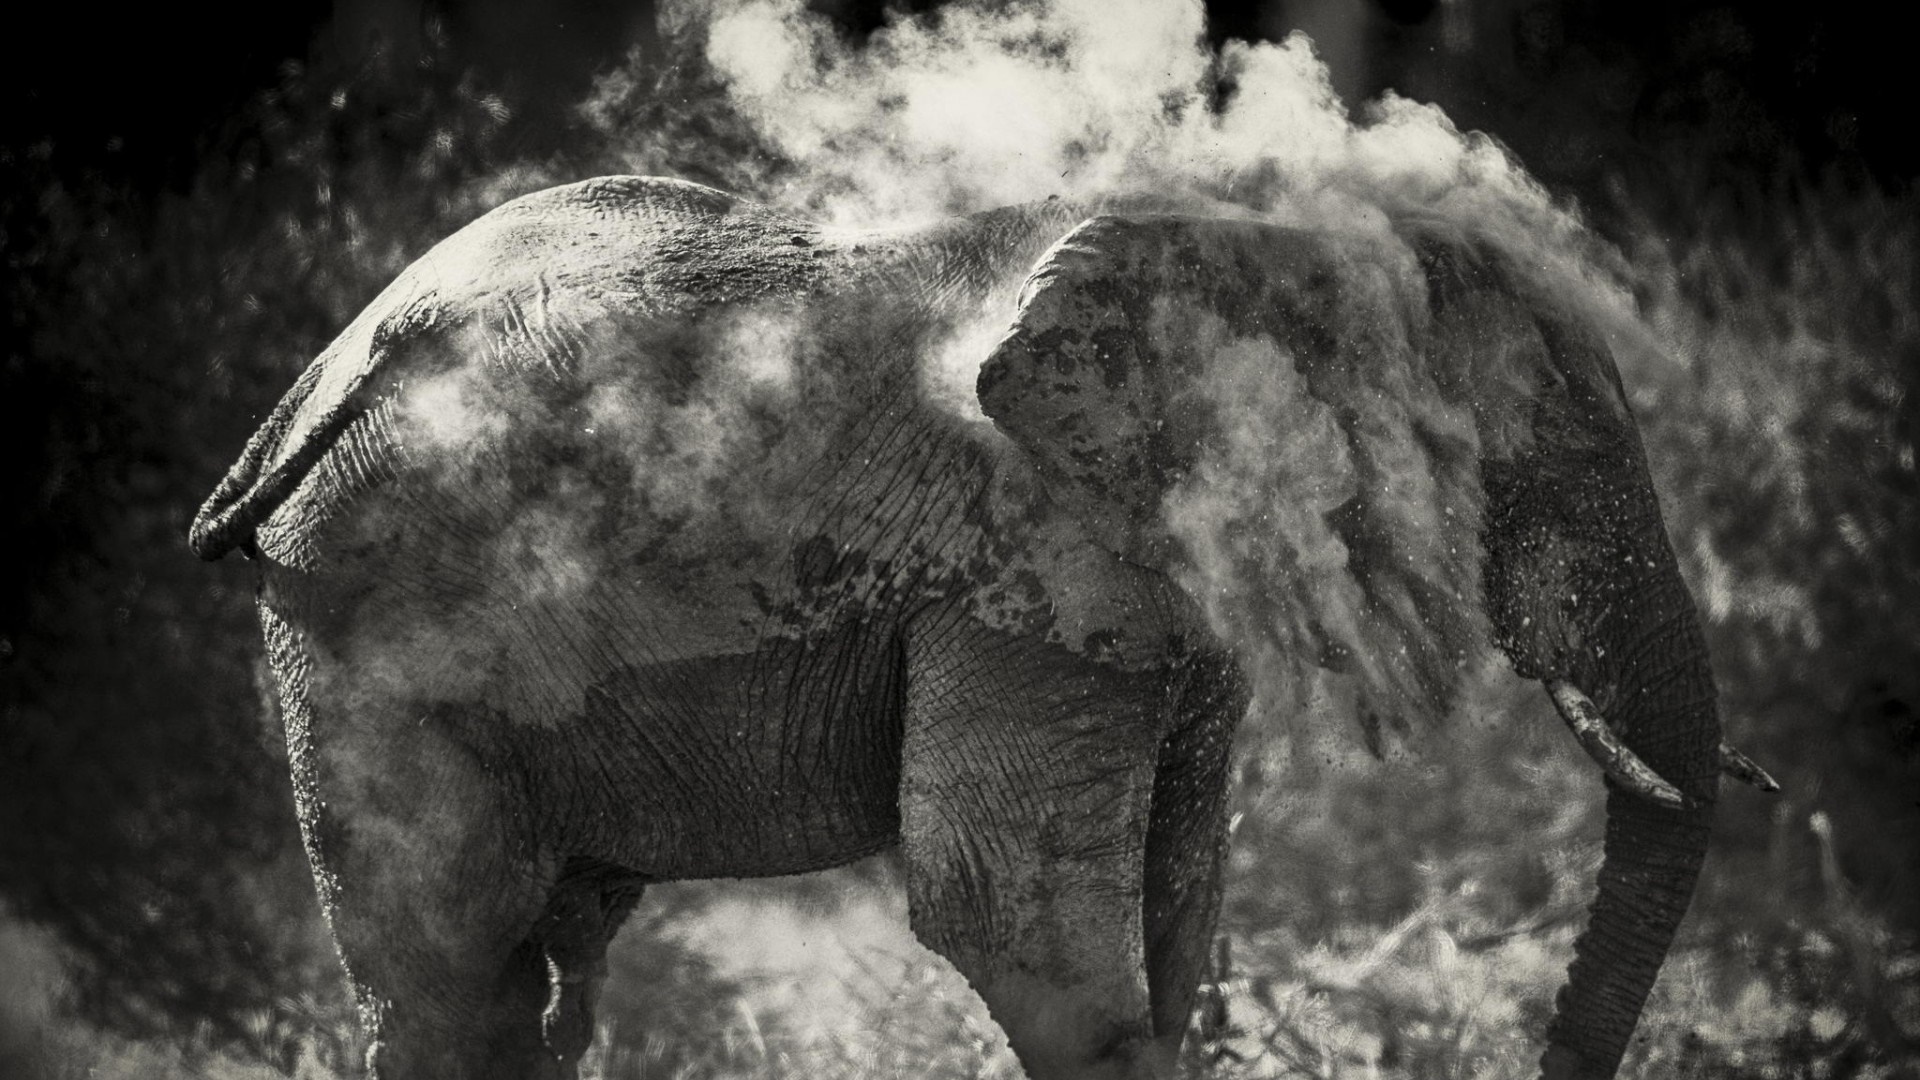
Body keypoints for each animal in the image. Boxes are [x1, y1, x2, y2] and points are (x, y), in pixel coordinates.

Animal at [191, 176, 1776, 1079]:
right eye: (1538, 465)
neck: (1258, 246)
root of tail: (319, 375)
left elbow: (1177, 895)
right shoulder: (1027, 558)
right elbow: (1005, 911)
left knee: (545, 979)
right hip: (365, 621)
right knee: (454, 983)